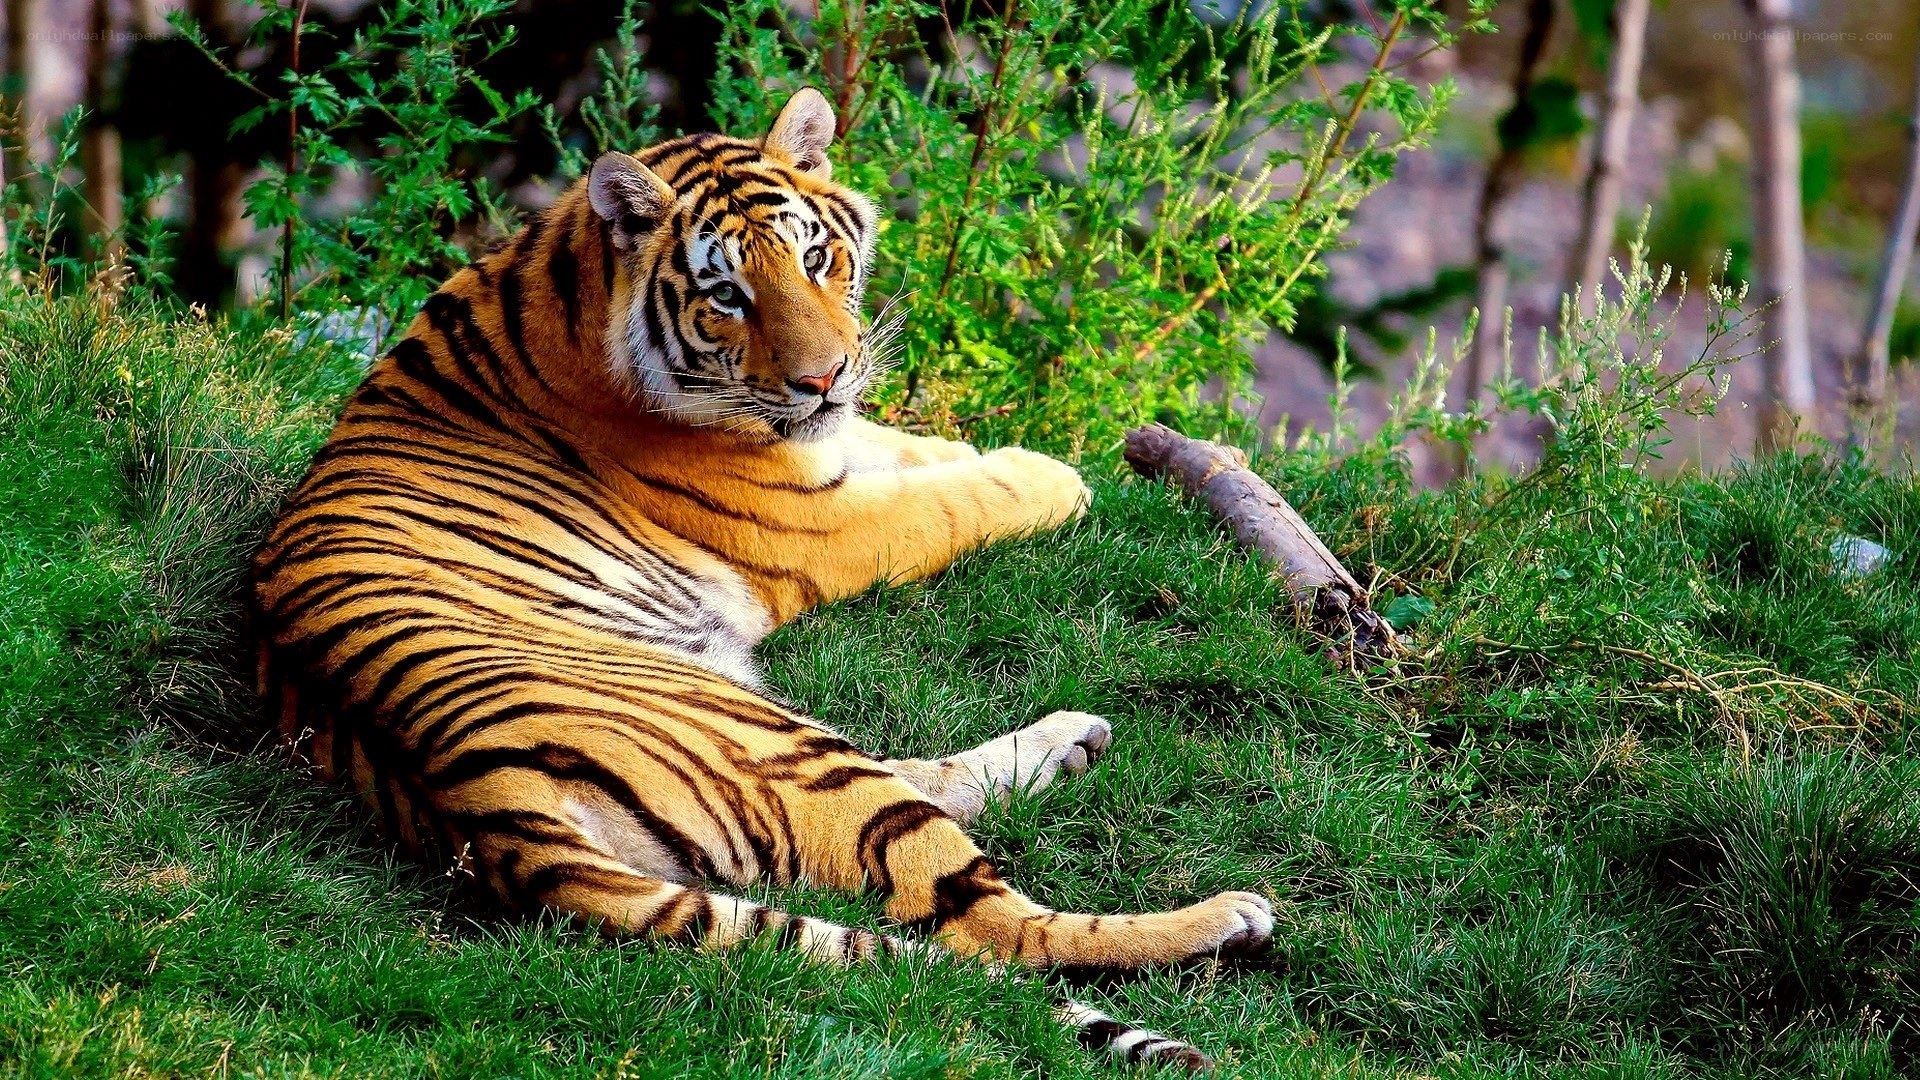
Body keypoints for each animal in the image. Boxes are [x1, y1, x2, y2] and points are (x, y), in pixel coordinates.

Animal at [250, 88, 1273, 1072]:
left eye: (817, 258)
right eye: (727, 296)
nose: (823, 378)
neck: (569, 284)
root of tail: (478, 810)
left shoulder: (831, 449)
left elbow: (906, 447)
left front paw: (970, 447)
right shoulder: (824, 525)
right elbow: (951, 502)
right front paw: (1053, 476)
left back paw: (1073, 742)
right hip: (776, 742)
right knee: (992, 926)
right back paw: (1224, 916)